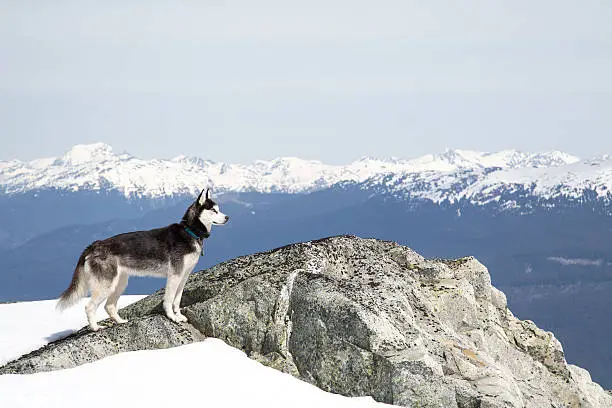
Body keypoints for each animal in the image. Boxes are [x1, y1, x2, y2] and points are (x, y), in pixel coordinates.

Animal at [56, 189, 230, 332]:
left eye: (219, 209)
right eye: (214, 210)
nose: (227, 217)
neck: (190, 232)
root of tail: (93, 245)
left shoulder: (184, 276)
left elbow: (177, 300)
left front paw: (179, 316)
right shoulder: (174, 276)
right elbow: (168, 300)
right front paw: (172, 317)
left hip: (120, 283)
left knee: (109, 306)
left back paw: (121, 322)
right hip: (106, 285)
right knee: (89, 306)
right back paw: (95, 327)